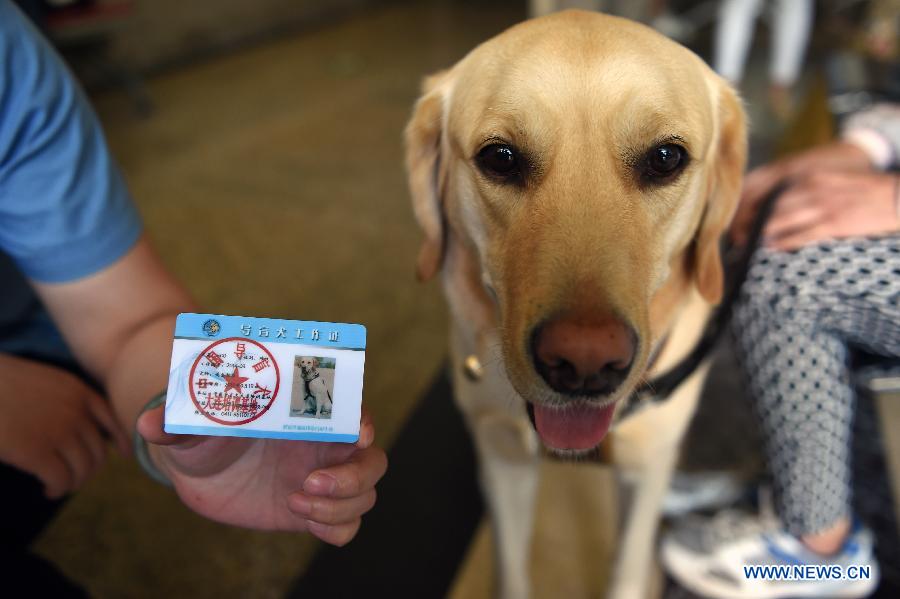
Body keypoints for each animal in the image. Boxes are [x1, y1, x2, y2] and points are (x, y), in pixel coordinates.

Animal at [408, 10, 744, 599]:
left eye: (665, 158)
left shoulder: (647, 470)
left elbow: (627, 569)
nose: (585, 362)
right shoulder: (502, 457)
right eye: (500, 157)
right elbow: (512, 569)